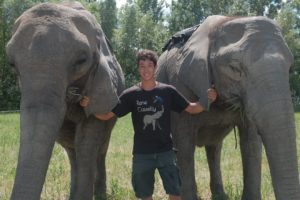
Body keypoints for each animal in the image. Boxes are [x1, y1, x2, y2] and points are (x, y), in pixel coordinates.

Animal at [5, 1, 124, 200]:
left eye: (82, 60)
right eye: (12, 64)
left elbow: (87, 143)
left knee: (98, 149)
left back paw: (100, 194)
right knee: (71, 150)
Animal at [156, 15, 300, 200]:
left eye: (290, 68)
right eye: (234, 68)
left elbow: (251, 143)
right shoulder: (179, 85)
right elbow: (184, 144)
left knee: (214, 148)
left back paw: (220, 195)